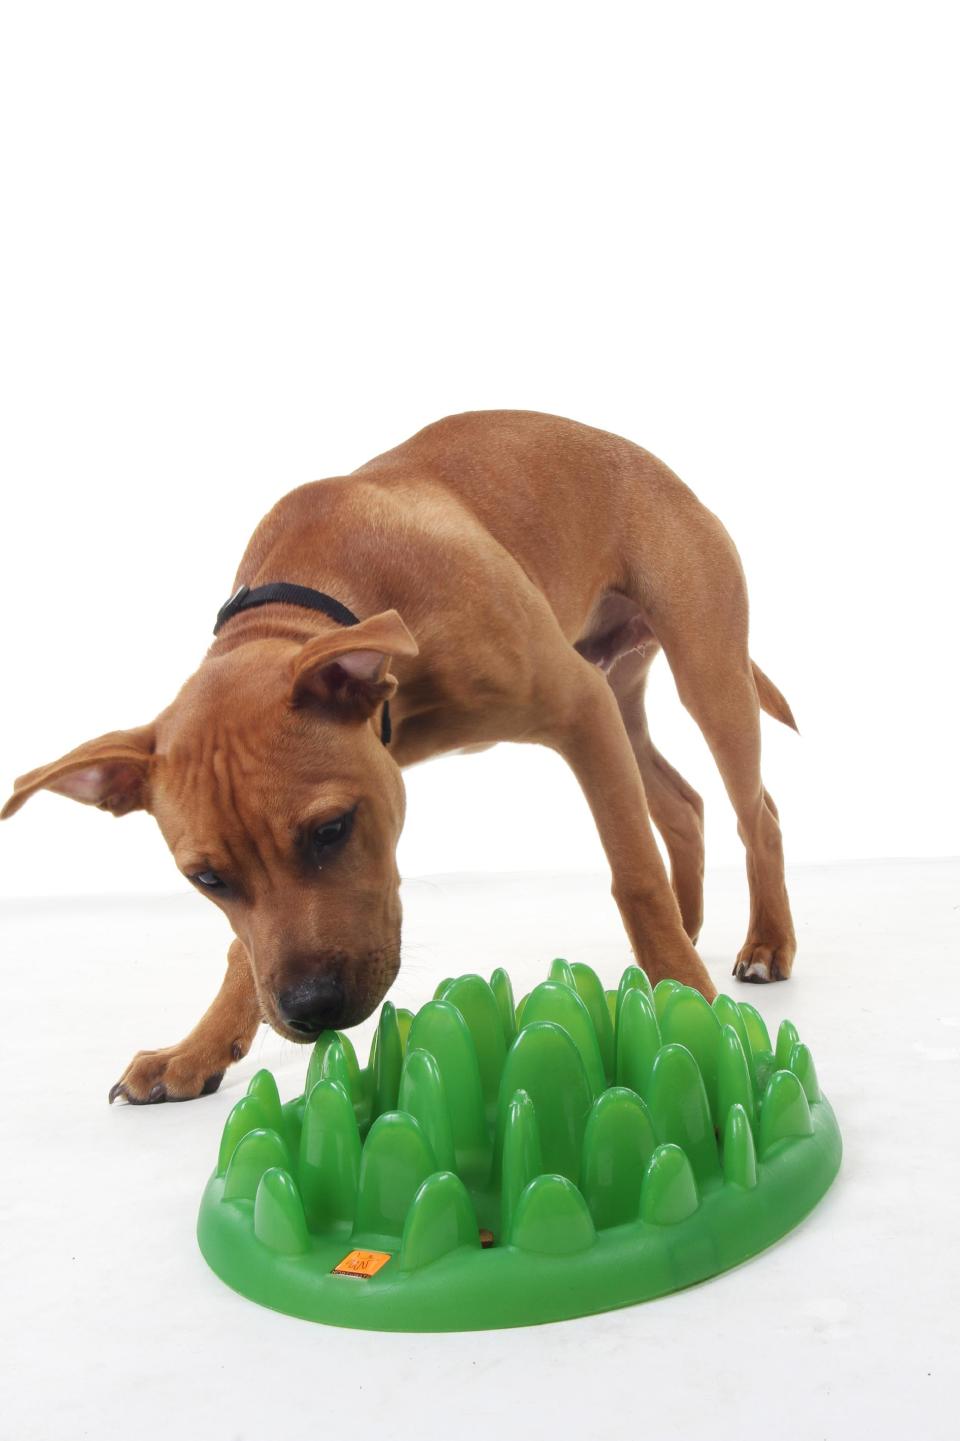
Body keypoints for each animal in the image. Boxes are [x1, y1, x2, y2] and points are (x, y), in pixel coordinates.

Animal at [1, 412, 789, 1106]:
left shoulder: (577, 707)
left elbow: (634, 873)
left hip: (706, 677)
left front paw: (697, 1012)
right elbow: (242, 952)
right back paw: (685, 937)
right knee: (682, 803)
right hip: (622, 701)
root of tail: (658, 468)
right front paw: (197, 1049)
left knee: (758, 812)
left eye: (331, 830)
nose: (311, 1008)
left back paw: (761, 944)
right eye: (208, 879)